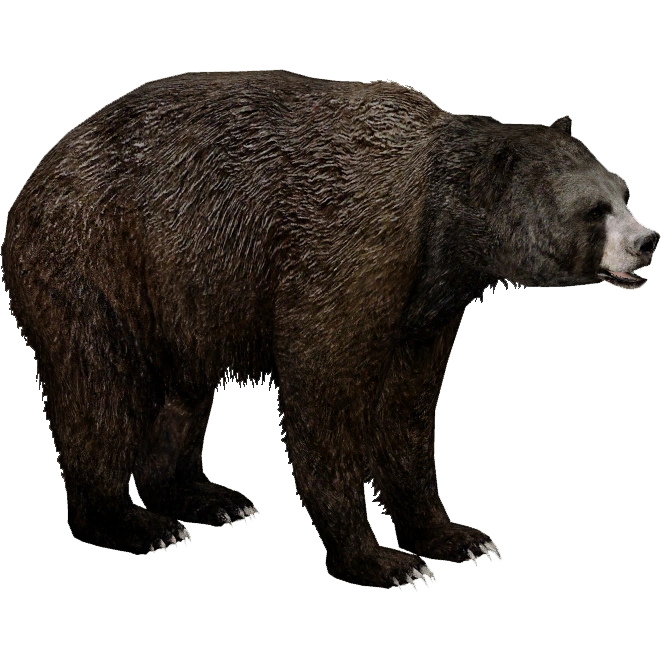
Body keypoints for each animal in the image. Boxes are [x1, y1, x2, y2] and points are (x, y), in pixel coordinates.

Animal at [1, 70, 657, 589]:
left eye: (625, 189)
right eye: (593, 208)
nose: (647, 241)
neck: (442, 232)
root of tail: (34, 177)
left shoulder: (426, 309)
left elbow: (407, 411)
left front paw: (455, 533)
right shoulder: (350, 246)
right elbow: (325, 394)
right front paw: (380, 559)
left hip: (184, 297)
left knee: (180, 397)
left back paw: (209, 497)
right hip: (96, 260)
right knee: (99, 390)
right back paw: (132, 522)